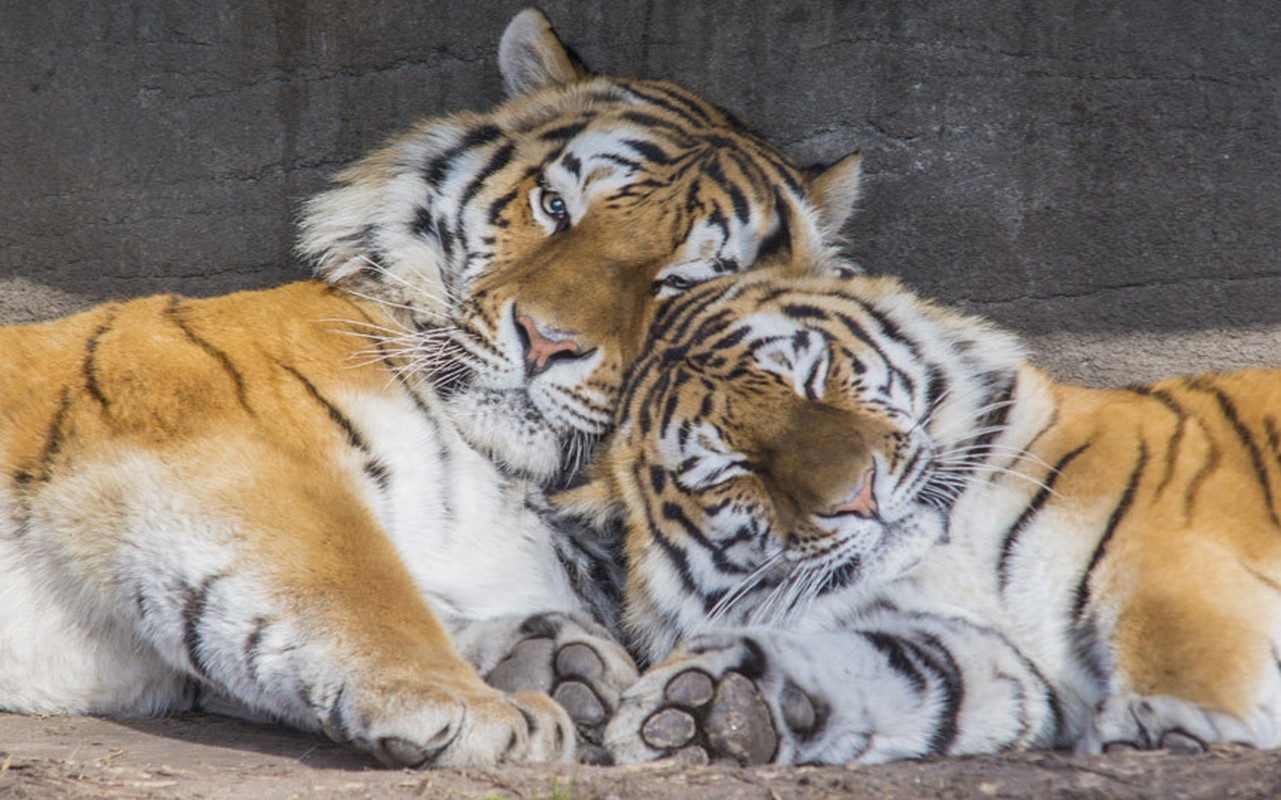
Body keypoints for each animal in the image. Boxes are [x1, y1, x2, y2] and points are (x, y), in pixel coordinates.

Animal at [2, 7, 860, 768]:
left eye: (678, 280)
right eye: (555, 207)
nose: (545, 340)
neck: (522, 479)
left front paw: (568, 664)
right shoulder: (234, 444)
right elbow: (360, 589)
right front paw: (484, 708)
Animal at [558, 261, 1281, 762]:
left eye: (810, 378)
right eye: (731, 469)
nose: (857, 495)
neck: (951, 548)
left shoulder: (1167, 547)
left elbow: (1179, 638)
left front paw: (1170, 728)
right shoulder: (983, 651)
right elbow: (891, 673)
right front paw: (713, 706)